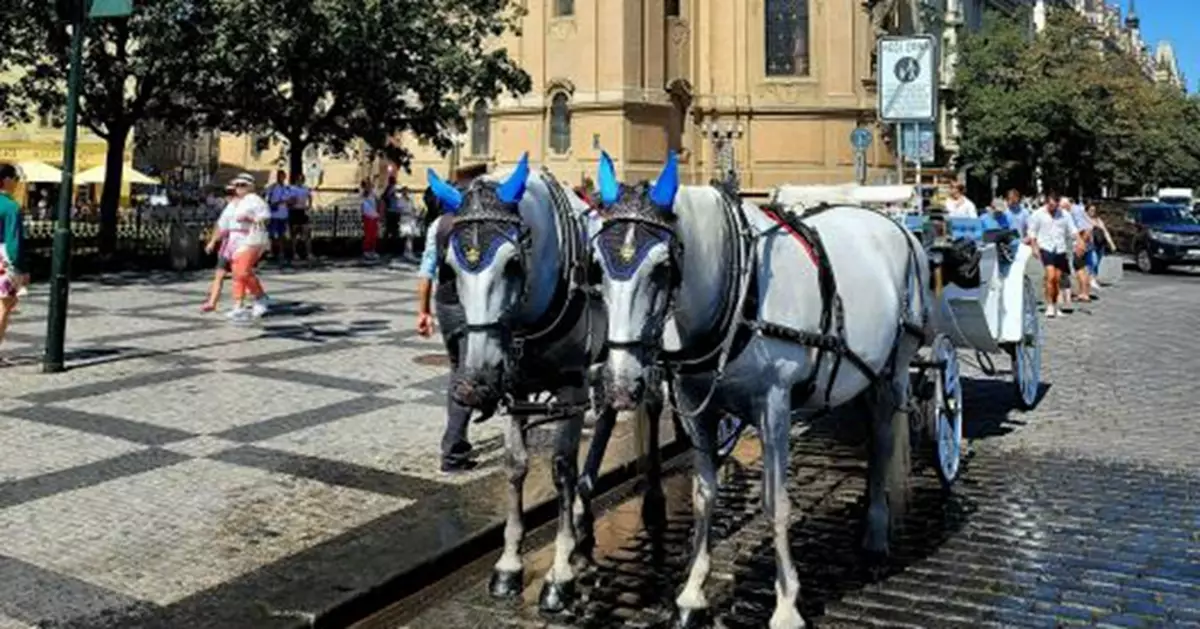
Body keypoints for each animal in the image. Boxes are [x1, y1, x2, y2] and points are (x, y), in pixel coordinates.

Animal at [425, 154, 666, 614]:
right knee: (608, 414)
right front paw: (509, 565)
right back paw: (585, 512)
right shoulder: (517, 388)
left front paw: (559, 574)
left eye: (512, 264)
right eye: (450, 267)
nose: (472, 386)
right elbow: (516, 465)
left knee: (652, 405)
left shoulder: (571, 388)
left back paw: (652, 502)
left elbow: (560, 469)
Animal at [588, 151, 931, 629]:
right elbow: (703, 495)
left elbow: (776, 502)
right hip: (864, 372)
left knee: (882, 441)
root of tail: (892, 223)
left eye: (662, 268)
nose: (621, 384)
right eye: (597, 266)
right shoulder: (697, 405)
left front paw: (786, 605)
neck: (738, 291)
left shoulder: (775, 406)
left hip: (894, 367)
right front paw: (692, 591)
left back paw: (877, 535)